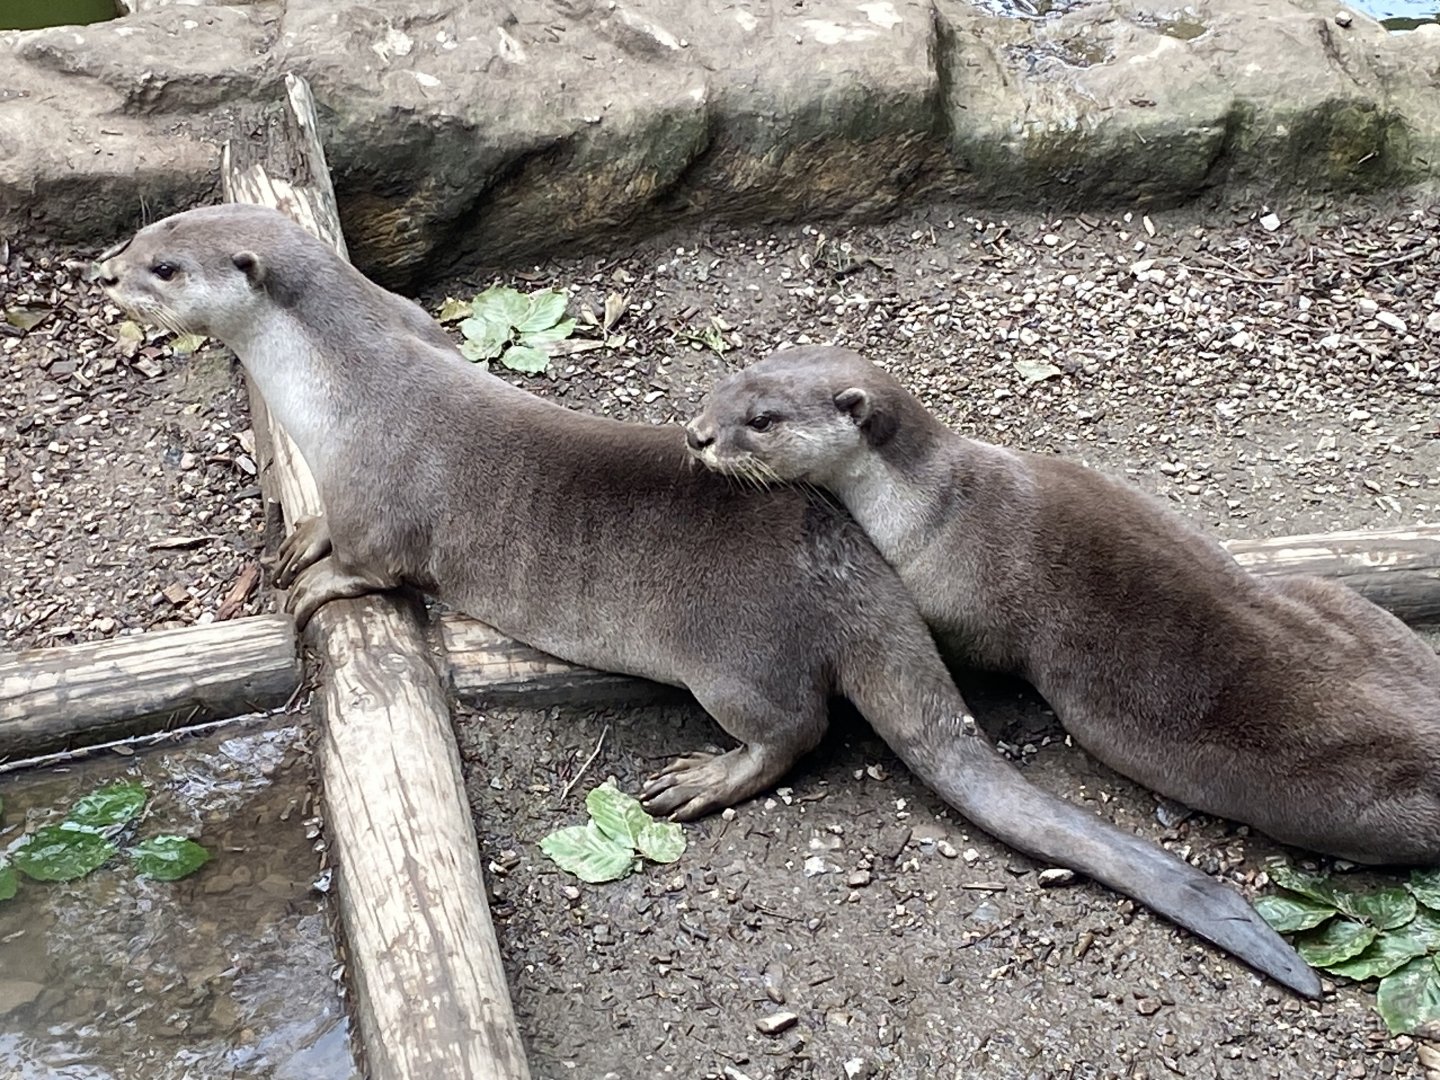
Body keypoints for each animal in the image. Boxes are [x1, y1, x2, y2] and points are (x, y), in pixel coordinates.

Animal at [95, 205, 1317, 996]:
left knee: (797, 730)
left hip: (731, 663)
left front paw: (311, 584)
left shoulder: (386, 501)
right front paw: (292, 539)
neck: (343, 385)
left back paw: (701, 781)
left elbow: (371, 565)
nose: (104, 274)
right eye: (145, 234)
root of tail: (852, 570)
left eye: (166, 267)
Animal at [688, 345, 1440, 867]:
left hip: (1348, 805)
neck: (934, 508)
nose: (697, 435)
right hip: (1349, 608)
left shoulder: (954, 600)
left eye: (762, 421)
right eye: (726, 385)